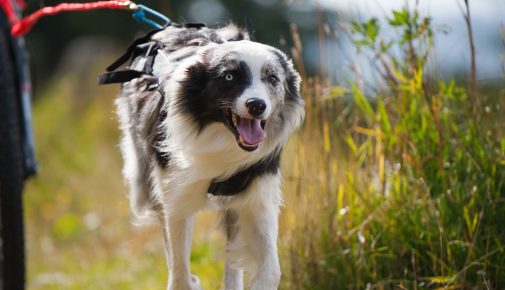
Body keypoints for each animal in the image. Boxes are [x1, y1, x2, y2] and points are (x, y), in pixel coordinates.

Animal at [110, 22, 304, 290]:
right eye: (229, 76)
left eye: (272, 78)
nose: (257, 105)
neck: (222, 141)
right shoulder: (176, 196)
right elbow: (180, 271)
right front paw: (188, 279)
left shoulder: (257, 198)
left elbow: (270, 270)